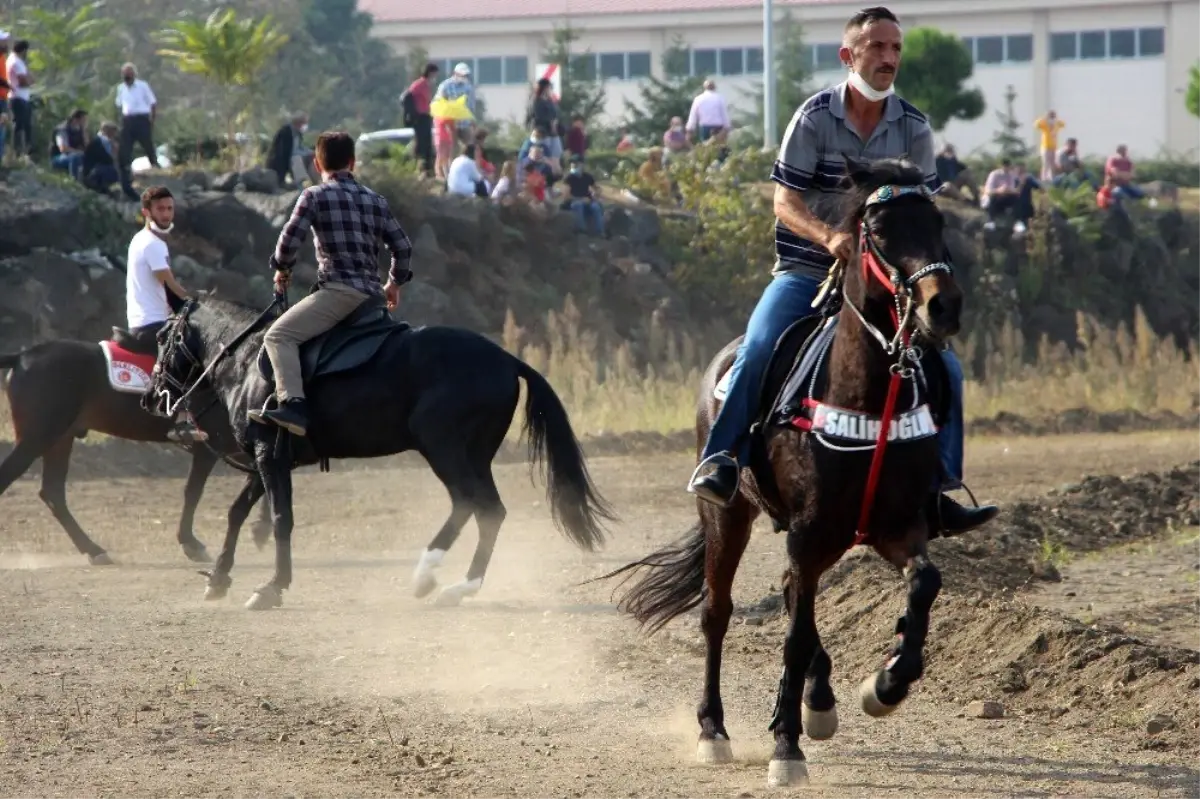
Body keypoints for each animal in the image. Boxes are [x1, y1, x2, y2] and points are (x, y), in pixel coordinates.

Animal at [0, 333, 272, 563]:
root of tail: (23, 356)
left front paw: (261, 530)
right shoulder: (208, 447)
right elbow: (193, 492)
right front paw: (190, 543)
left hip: (60, 439)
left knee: (53, 493)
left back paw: (93, 550)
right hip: (38, 436)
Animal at [145, 292, 614, 609]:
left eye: (164, 336)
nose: (151, 397)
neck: (246, 362)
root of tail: (505, 358)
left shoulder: (269, 458)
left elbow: (280, 519)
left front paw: (272, 587)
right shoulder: (268, 461)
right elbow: (238, 512)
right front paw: (218, 578)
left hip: (443, 448)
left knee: (479, 506)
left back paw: (437, 578)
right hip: (473, 456)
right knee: (481, 509)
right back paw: (448, 583)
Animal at [604, 157, 969, 782]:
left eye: (937, 221)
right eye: (879, 230)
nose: (940, 306)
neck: (869, 400)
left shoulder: (896, 525)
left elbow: (924, 583)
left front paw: (886, 683)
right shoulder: (809, 530)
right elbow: (794, 635)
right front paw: (785, 748)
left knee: (793, 594)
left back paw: (816, 702)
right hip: (728, 515)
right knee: (718, 612)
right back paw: (715, 729)